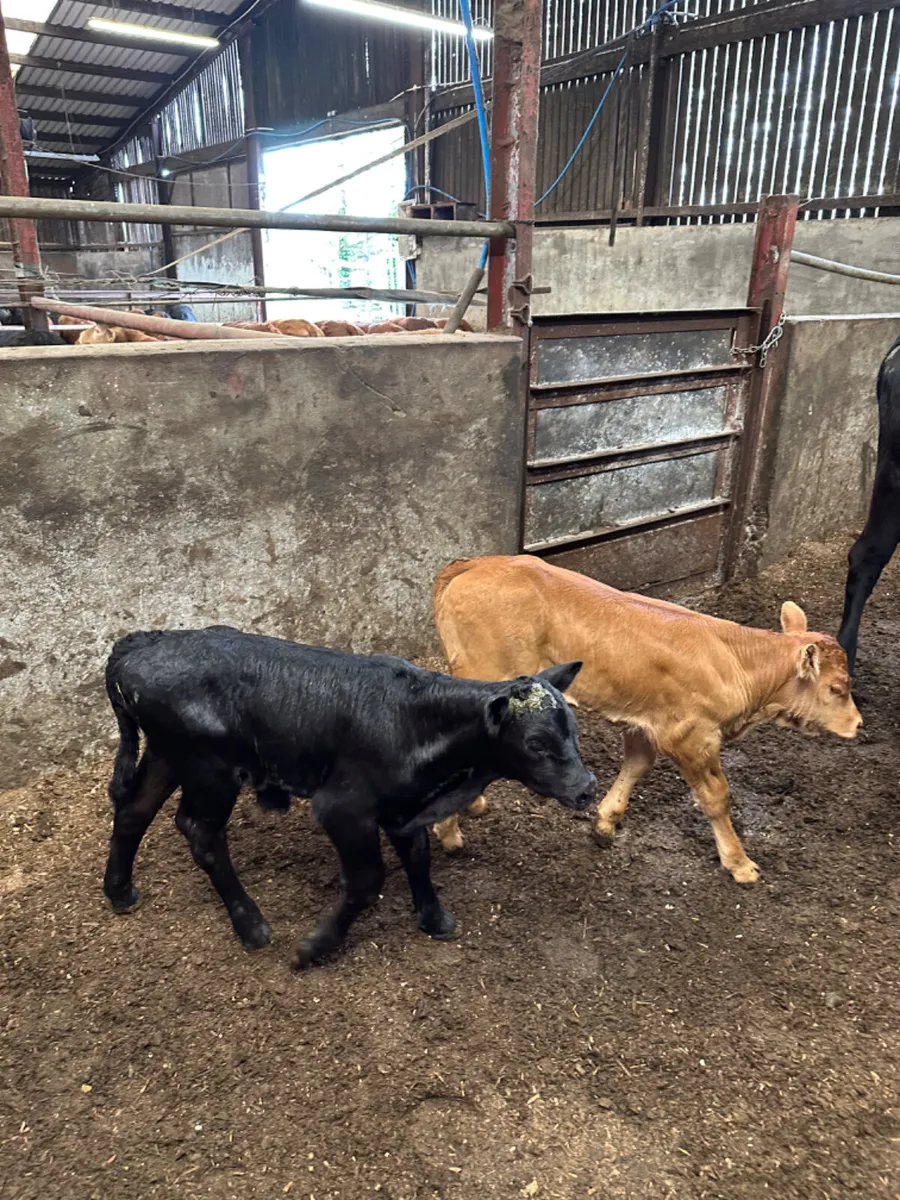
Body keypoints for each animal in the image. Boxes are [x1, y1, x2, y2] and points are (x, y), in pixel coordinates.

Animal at [102, 627, 595, 968]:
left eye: (572, 729)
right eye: (535, 743)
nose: (587, 787)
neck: (417, 723)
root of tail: (143, 642)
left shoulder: (403, 810)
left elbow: (418, 857)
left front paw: (435, 919)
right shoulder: (344, 809)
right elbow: (366, 881)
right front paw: (315, 948)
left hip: (167, 755)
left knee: (133, 811)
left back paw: (120, 891)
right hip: (210, 772)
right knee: (200, 834)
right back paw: (252, 926)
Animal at [432, 556, 862, 884]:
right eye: (838, 687)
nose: (858, 724)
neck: (736, 661)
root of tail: (478, 563)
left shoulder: (644, 723)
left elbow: (637, 765)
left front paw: (605, 822)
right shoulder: (691, 736)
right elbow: (716, 796)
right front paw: (740, 864)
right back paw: (449, 832)